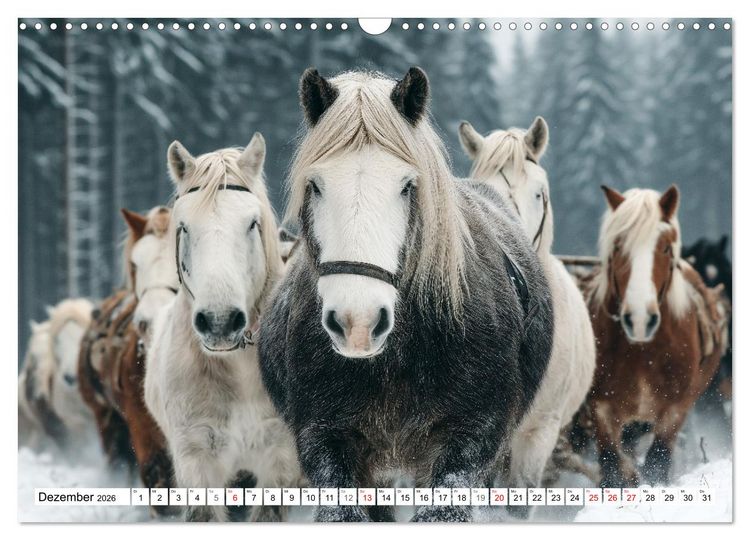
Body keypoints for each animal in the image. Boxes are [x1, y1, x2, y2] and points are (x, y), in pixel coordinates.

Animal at [586, 185, 727, 487]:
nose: (640, 320)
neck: (642, 352)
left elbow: (657, 464)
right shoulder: (601, 408)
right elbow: (612, 469)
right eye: (618, 246)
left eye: (664, 247)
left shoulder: (675, 409)